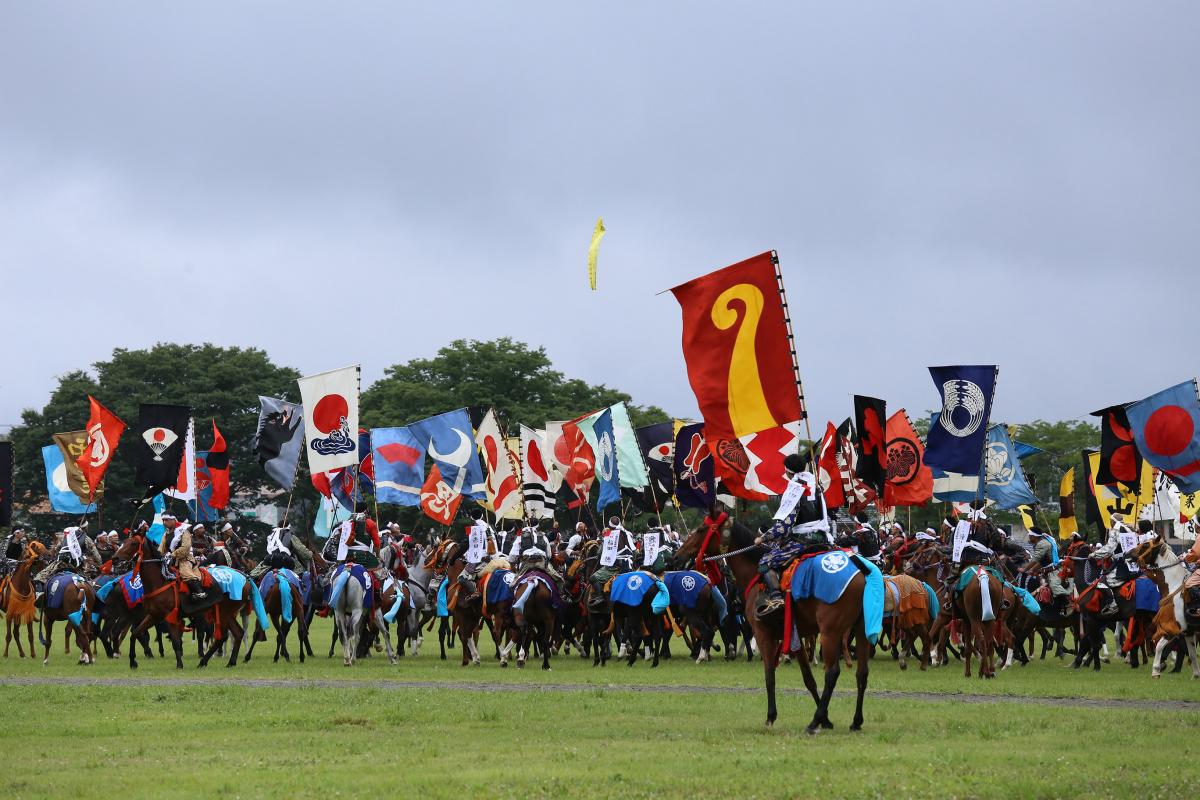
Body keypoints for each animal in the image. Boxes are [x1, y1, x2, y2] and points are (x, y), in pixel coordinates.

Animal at [676, 513, 873, 734]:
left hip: (831, 631)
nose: (676, 556)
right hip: (861, 630)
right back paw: (855, 721)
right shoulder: (794, 635)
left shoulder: (763, 633)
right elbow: (808, 679)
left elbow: (769, 675)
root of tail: (860, 570)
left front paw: (772, 716)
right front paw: (826, 719)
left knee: (832, 673)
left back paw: (813, 723)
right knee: (862, 673)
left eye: (701, 530)